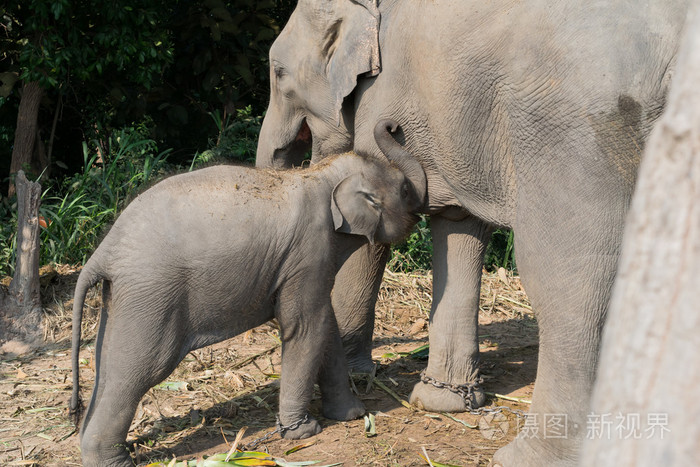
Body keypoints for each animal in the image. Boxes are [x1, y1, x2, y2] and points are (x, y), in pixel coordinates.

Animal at [69, 120, 425, 467]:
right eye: (405, 190)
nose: (392, 126)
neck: (321, 175)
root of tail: (104, 251)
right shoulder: (309, 251)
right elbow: (306, 328)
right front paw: (303, 432)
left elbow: (326, 329)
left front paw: (353, 415)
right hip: (153, 294)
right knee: (140, 370)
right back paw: (114, 462)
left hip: (125, 297)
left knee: (108, 362)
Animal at [255, 0, 691, 465]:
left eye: (279, 73)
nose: (393, 127)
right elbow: (457, 224)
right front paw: (442, 402)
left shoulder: (380, 92)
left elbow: (373, 238)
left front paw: (359, 375)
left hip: (578, 133)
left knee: (571, 280)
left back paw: (531, 455)